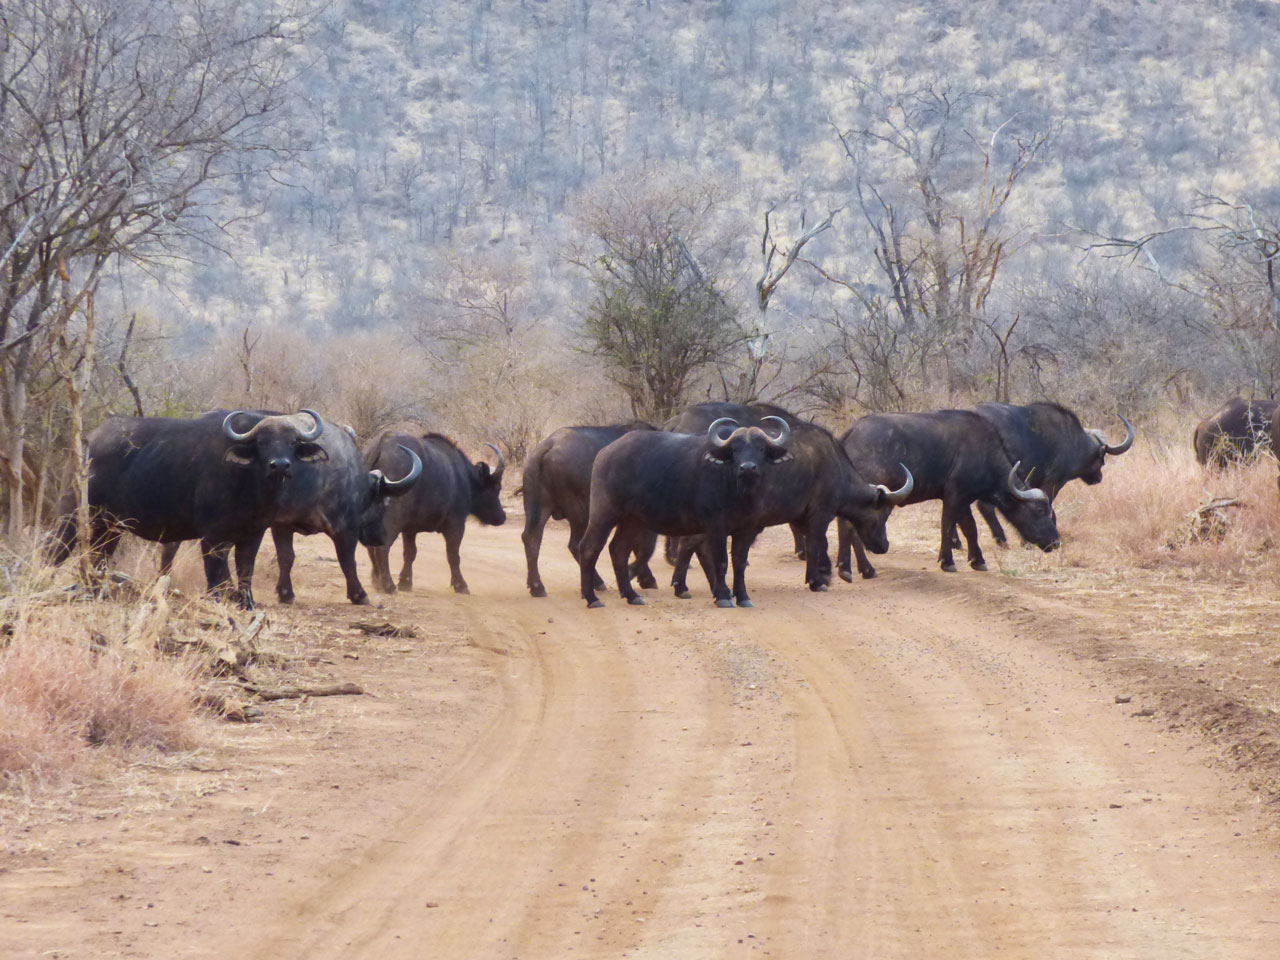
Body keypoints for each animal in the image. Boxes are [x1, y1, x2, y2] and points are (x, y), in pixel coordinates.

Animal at [48, 407, 419, 609]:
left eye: (291, 443)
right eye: (262, 442)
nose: (280, 465)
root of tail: (89, 439)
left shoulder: (256, 532)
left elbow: (249, 568)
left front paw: (251, 600)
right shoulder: (213, 536)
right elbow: (346, 561)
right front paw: (360, 595)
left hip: (109, 527)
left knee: (97, 559)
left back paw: (96, 590)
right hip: (72, 515)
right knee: (54, 549)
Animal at [363, 435, 506, 593]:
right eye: (497, 487)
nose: (502, 517)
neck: (463, 478)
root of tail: (378, 450)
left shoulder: (409, 530)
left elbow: (410, 553)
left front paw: (405, 582)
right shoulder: (456, 525)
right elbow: (453, 555)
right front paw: (461, 585)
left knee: (371, 547)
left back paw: (377, 582)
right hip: (391, 521)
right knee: (381, 548)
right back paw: (388, 585)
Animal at [519, 424, 660, 599]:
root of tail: (549, 444)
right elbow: (646, 547)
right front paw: (644, 577)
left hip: (538, 507)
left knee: (532, 538)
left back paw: (537, 586)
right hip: (580, 513)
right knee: (576, 544)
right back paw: (596, 582)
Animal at [581, 414, 788, 609]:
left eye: (761, 449)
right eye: (735, 449)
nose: (747, 468)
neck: (739, 491)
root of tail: (605, 453)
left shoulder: (747, 529)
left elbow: (739, 563)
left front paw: (743, 597)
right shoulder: (717, 528)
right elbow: (721, 561)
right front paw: (723, 596)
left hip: (632, 520)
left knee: (618, 549)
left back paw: (631, 595)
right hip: (604, 513)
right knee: (589, 547)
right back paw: (592, 598)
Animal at [834, 412, 1054, 578]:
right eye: (1039, 510)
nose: (1055, 541)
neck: (985, 455)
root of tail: (850, 433)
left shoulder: (964, 500)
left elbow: (970, 528)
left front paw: (977, 560)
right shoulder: (954, 496)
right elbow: (948, 526)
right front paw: (947, 562)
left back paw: (848, 568)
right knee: (851, 528)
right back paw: (863, 569)